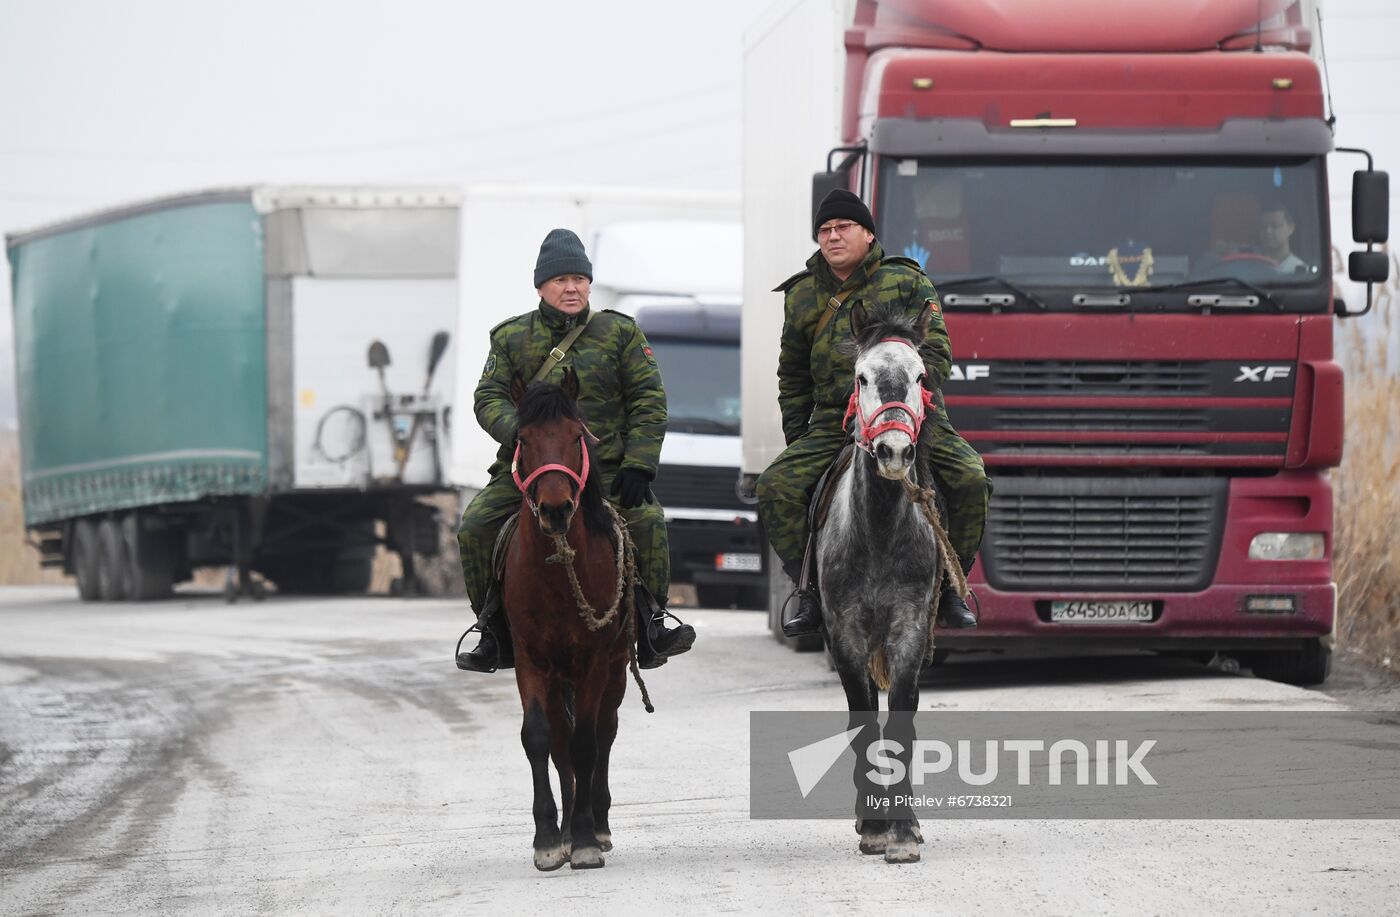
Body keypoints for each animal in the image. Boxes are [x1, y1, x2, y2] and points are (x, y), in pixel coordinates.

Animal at [504, 369, 635, 873]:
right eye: (522, 439)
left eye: (577, 436)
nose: (556, 509)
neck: (557, 576)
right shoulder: (530, 659)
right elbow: (540, 738)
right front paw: (547, 839)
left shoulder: (594, 661)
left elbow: (586, 744)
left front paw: (583, 840)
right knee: (561, 741)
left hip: (615, 670)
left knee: (603, 733)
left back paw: (596, 825)